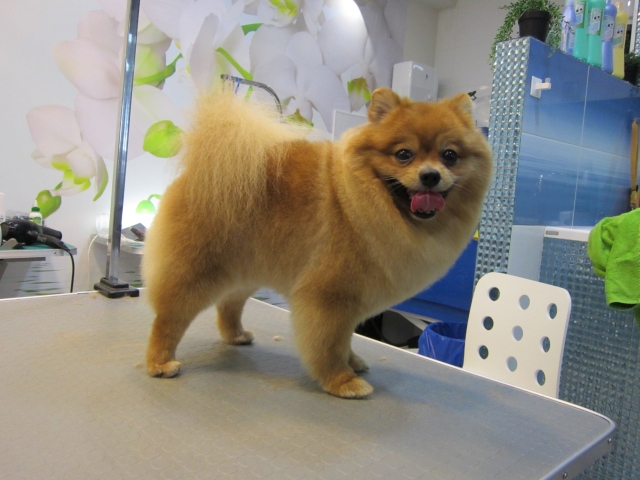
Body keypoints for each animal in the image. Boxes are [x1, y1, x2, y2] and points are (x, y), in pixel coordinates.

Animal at [142, 85, 493, 398]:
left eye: (450, 155)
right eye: (403, 155)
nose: (431, 175)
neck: (357, 202)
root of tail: (200, 168)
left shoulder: (350, 300)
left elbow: (346, 339)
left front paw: (352, 362)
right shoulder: (329, 297)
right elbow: (329, 344)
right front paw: (342, 380)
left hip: (247, 267)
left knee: (229, 304)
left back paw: (237, 336)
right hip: (197, 270)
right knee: (169, 317)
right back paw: (160, 362)